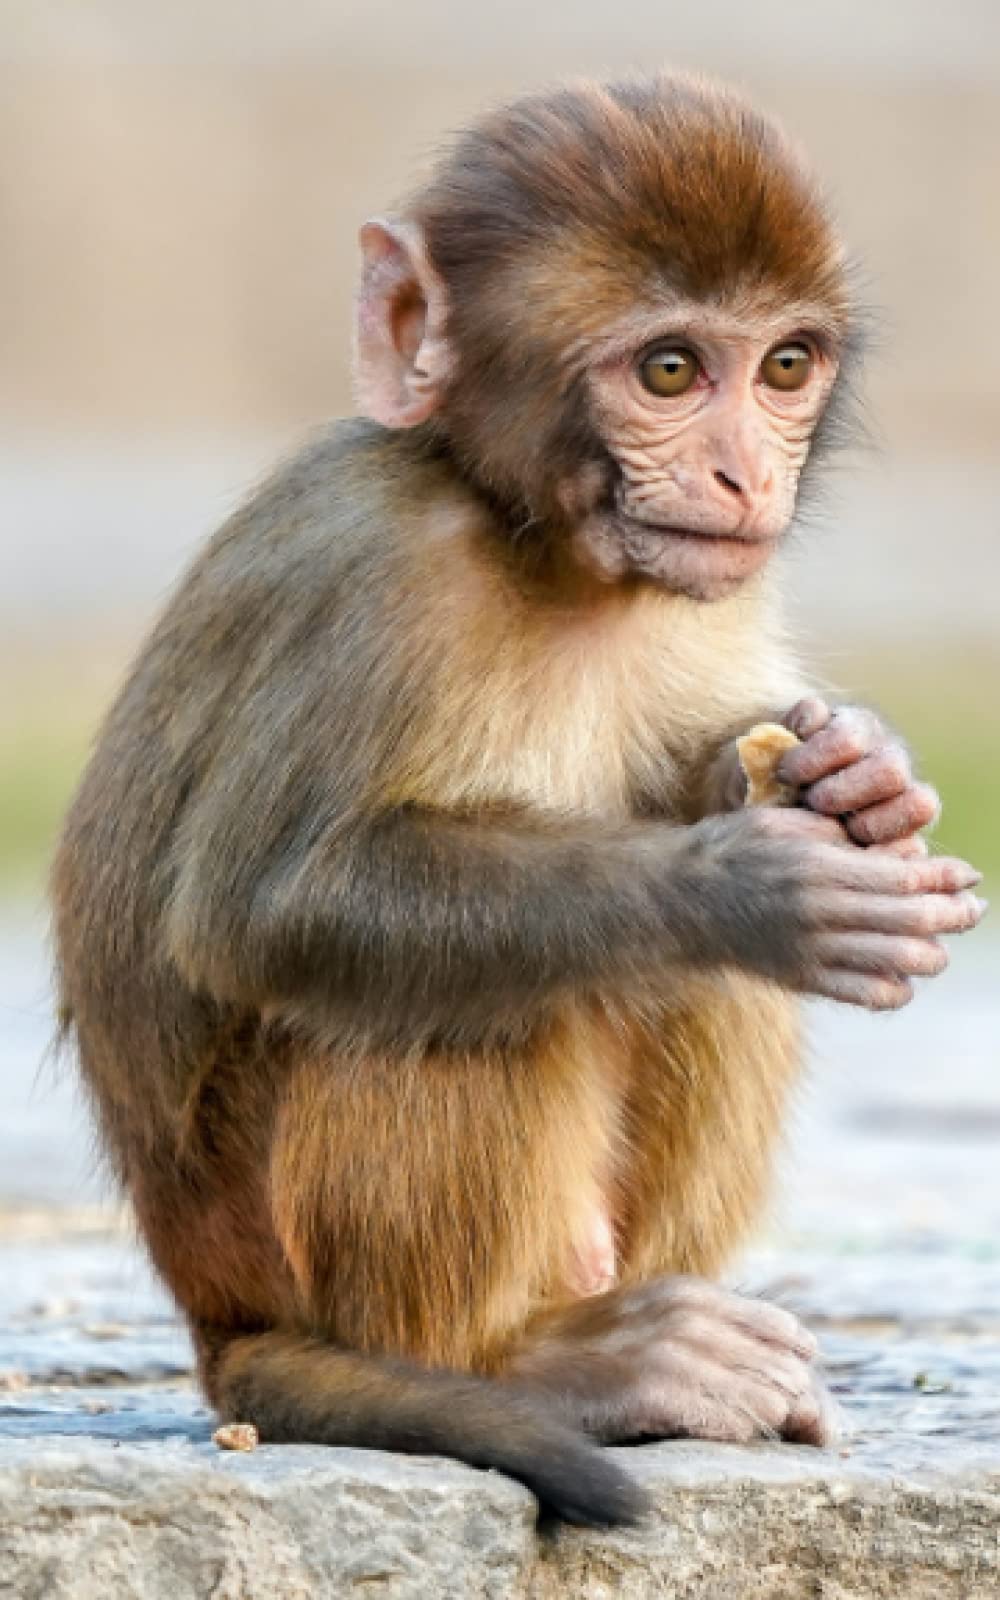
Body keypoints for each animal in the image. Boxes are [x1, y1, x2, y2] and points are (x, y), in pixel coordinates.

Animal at [51, 73, 986, 1527]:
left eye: (784, 367)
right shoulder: (375, 579)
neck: (533, 539)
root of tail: (220, 1327)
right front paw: (746, 884)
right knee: (459, 1000)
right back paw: (527, 1366)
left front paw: (859, 773)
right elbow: (266, 914)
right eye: (670, 371)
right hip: (277, 1250)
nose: (745, 476)